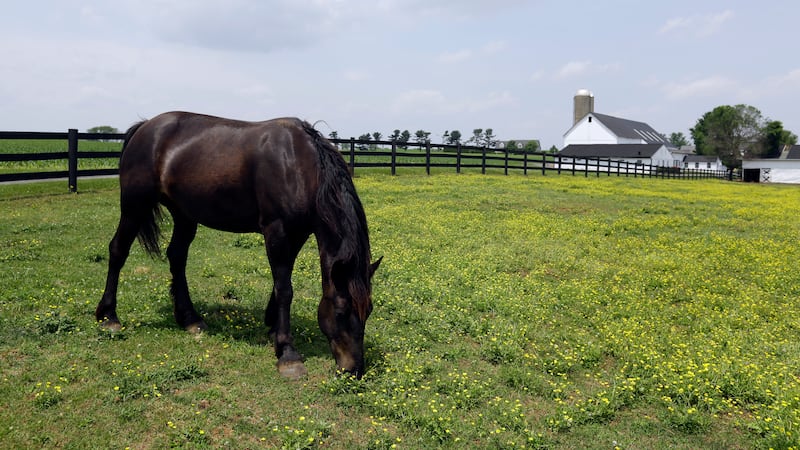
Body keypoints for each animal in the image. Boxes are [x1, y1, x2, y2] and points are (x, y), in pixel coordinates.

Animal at [95, 111, 381, 379]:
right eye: (341, 312)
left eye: (369, 310)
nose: (354, 370)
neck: (298, 164)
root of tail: (144, 127)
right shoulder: (276, 229)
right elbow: (284, 289)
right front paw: (287, 353)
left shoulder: (298, 233)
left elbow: (281, 282)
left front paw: (273, 328)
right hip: (135, 205)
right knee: (118, 250)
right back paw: (108, 317)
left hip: (184, 214)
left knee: (177, 256)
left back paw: (190, 319)